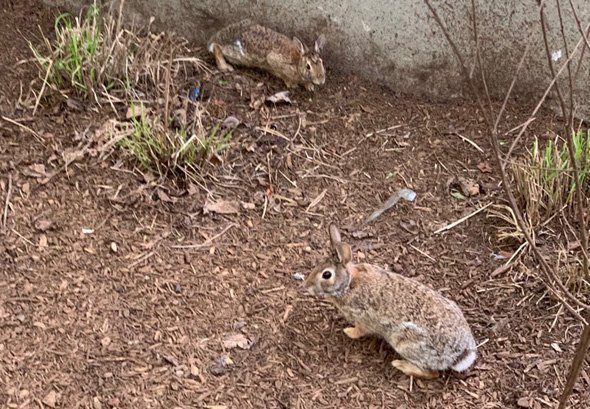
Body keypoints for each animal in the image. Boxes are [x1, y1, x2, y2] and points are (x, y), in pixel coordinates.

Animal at [302, 223, 478, 380]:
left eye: (326, 274)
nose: (306, 286)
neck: (349, 284)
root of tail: (461, 354)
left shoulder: (363, 318)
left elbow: (360, 331)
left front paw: (349, 331)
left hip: (406, 343)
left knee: (431, 373)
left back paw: (400, 365)